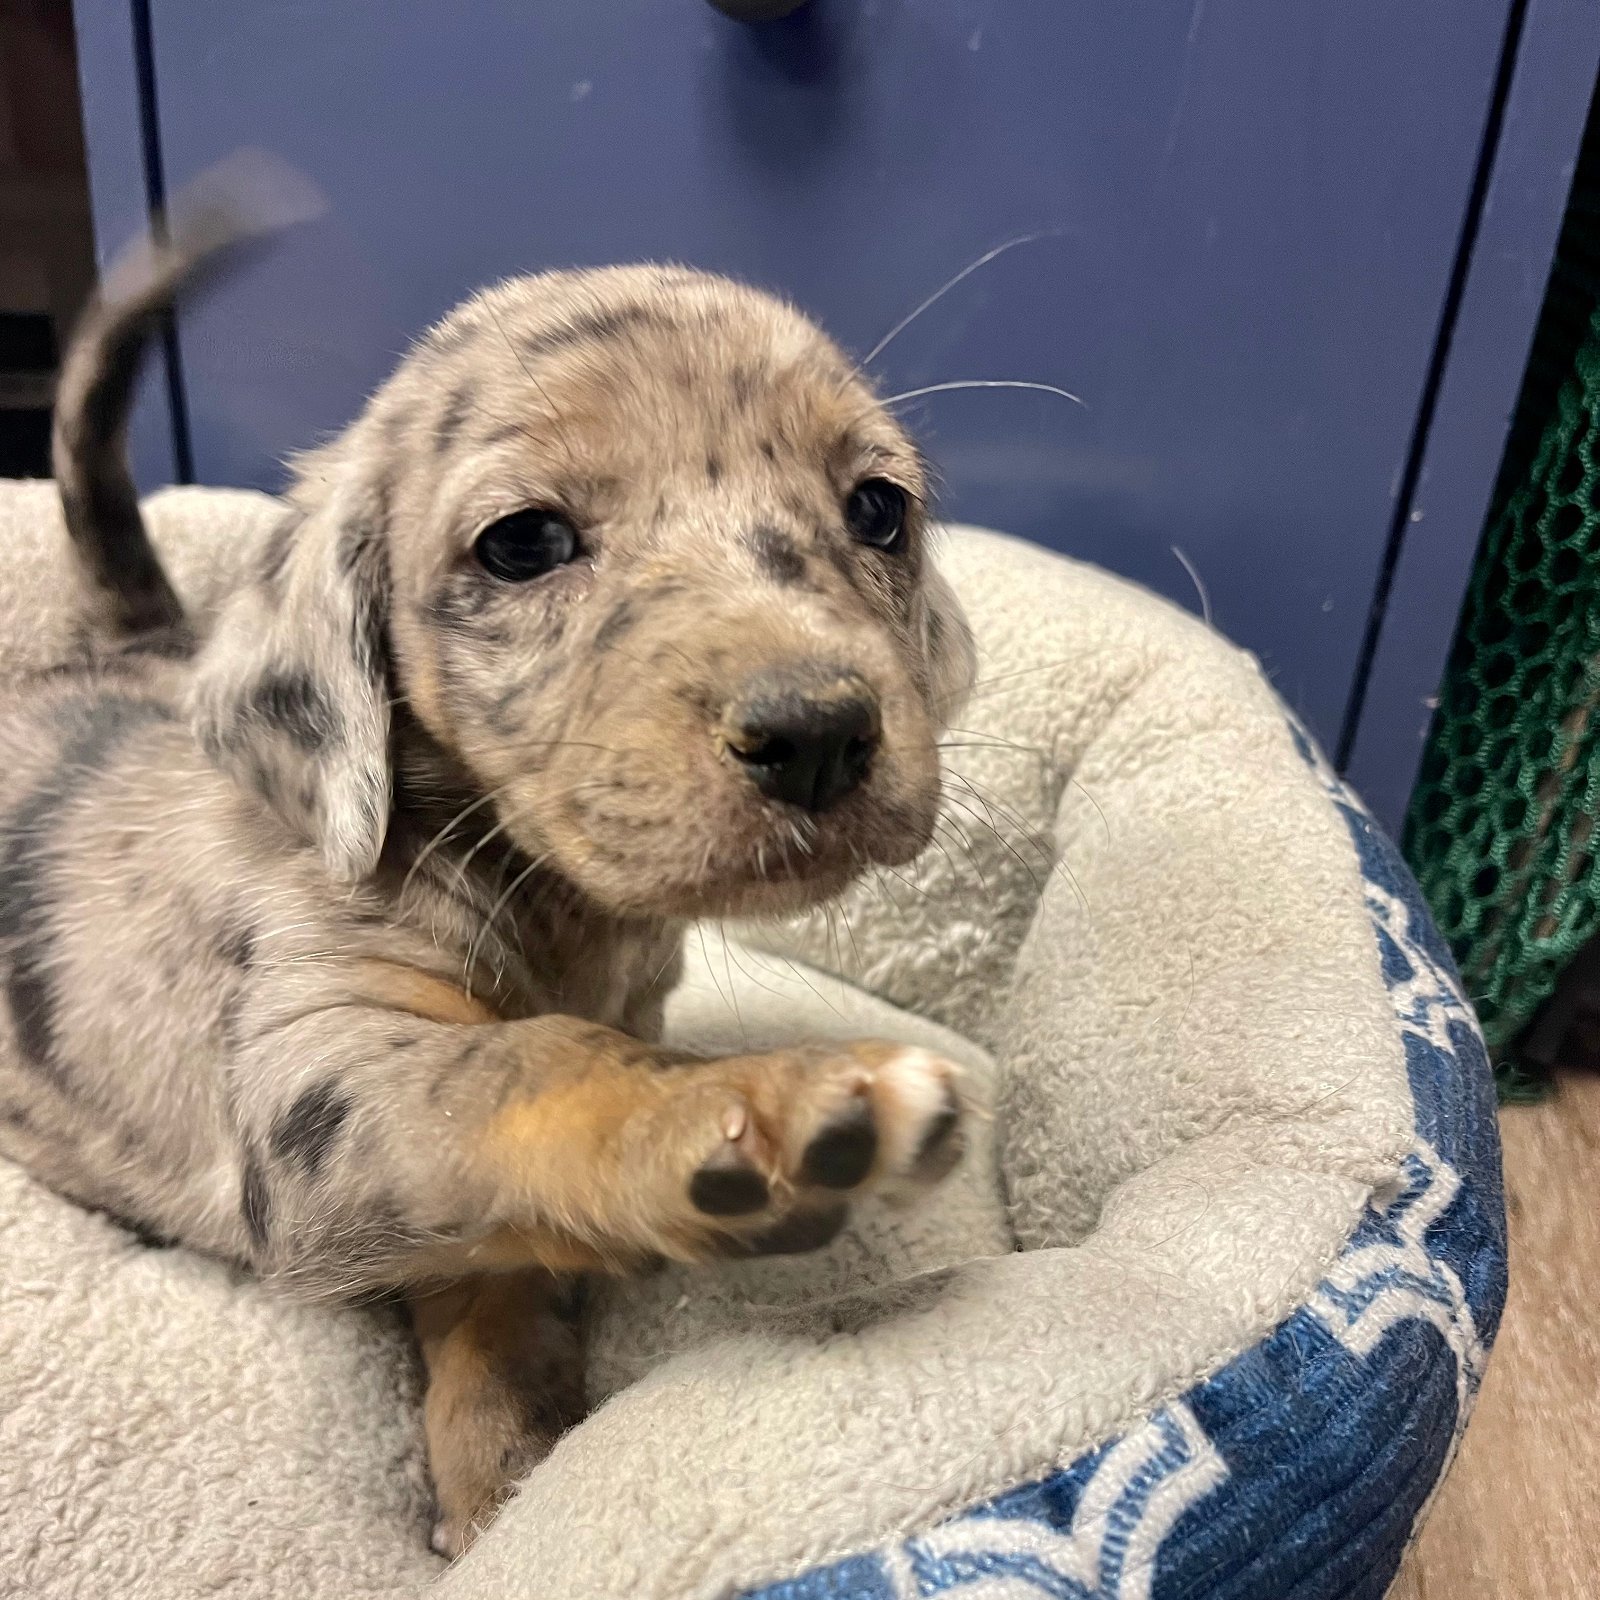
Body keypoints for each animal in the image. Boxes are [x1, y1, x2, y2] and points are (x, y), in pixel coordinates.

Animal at [0, 193, 979, 1555]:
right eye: (524, 541)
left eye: (879, 508)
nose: (821, 731)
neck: (556, 908)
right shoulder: (328, 1071)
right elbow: (532, 1069)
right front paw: (752, 1108)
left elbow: (490, 1247)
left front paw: (502, 1449)